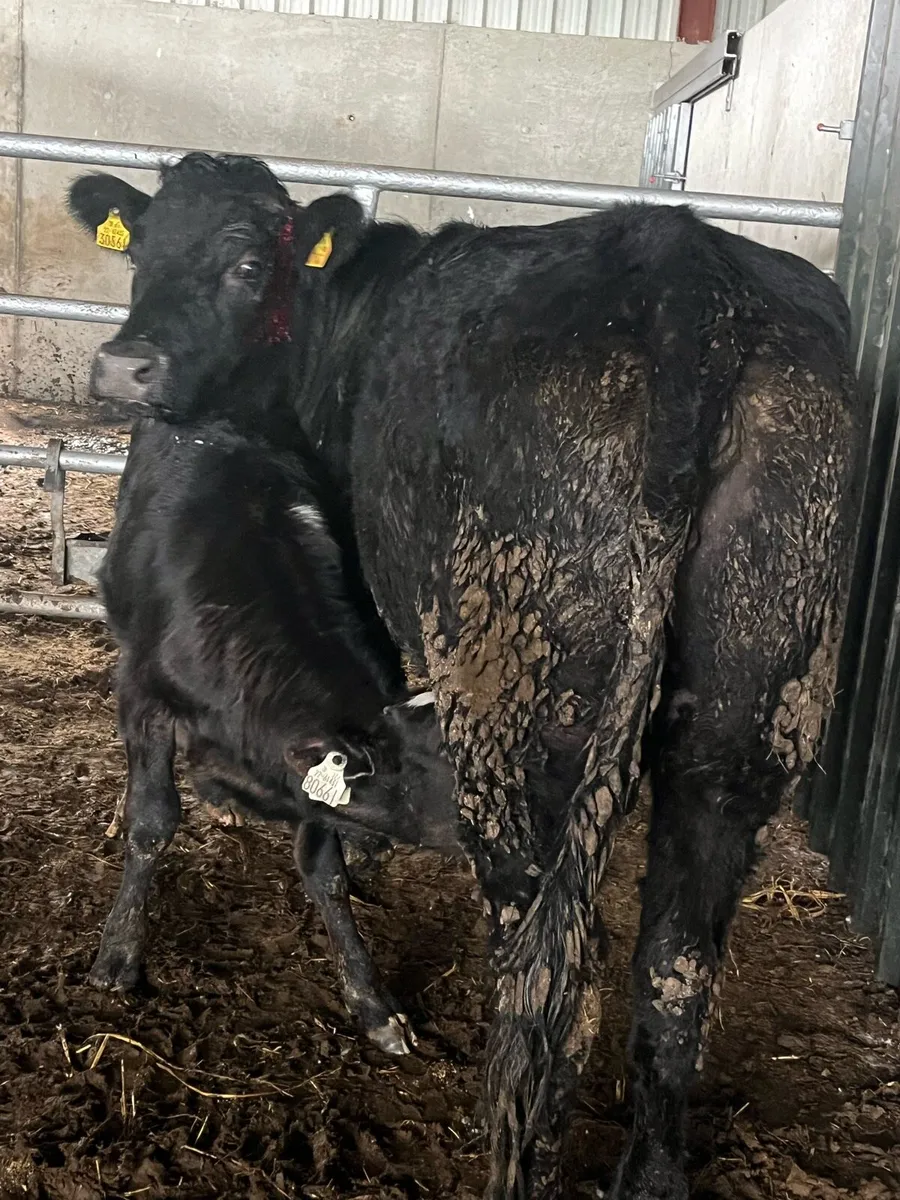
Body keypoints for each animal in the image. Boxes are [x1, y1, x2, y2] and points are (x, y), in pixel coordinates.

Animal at [69, 156, 862, 1200]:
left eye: (247, 263)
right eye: (140, 249)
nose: (125, 367)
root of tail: (686, 277)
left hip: (521, 727)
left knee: (552, 987)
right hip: (747, 709)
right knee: (675, 968)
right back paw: (650, 1170)